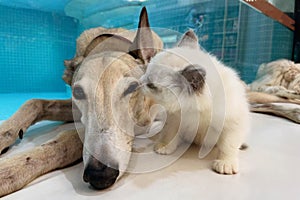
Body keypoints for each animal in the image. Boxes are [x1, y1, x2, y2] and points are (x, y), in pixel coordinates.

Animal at [0, 7, 163, 196]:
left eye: (132, 88)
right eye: (78, 92)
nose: (100, 174)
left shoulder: (143, 121)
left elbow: (69, 138)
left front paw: (10, 169)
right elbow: (34, 102)